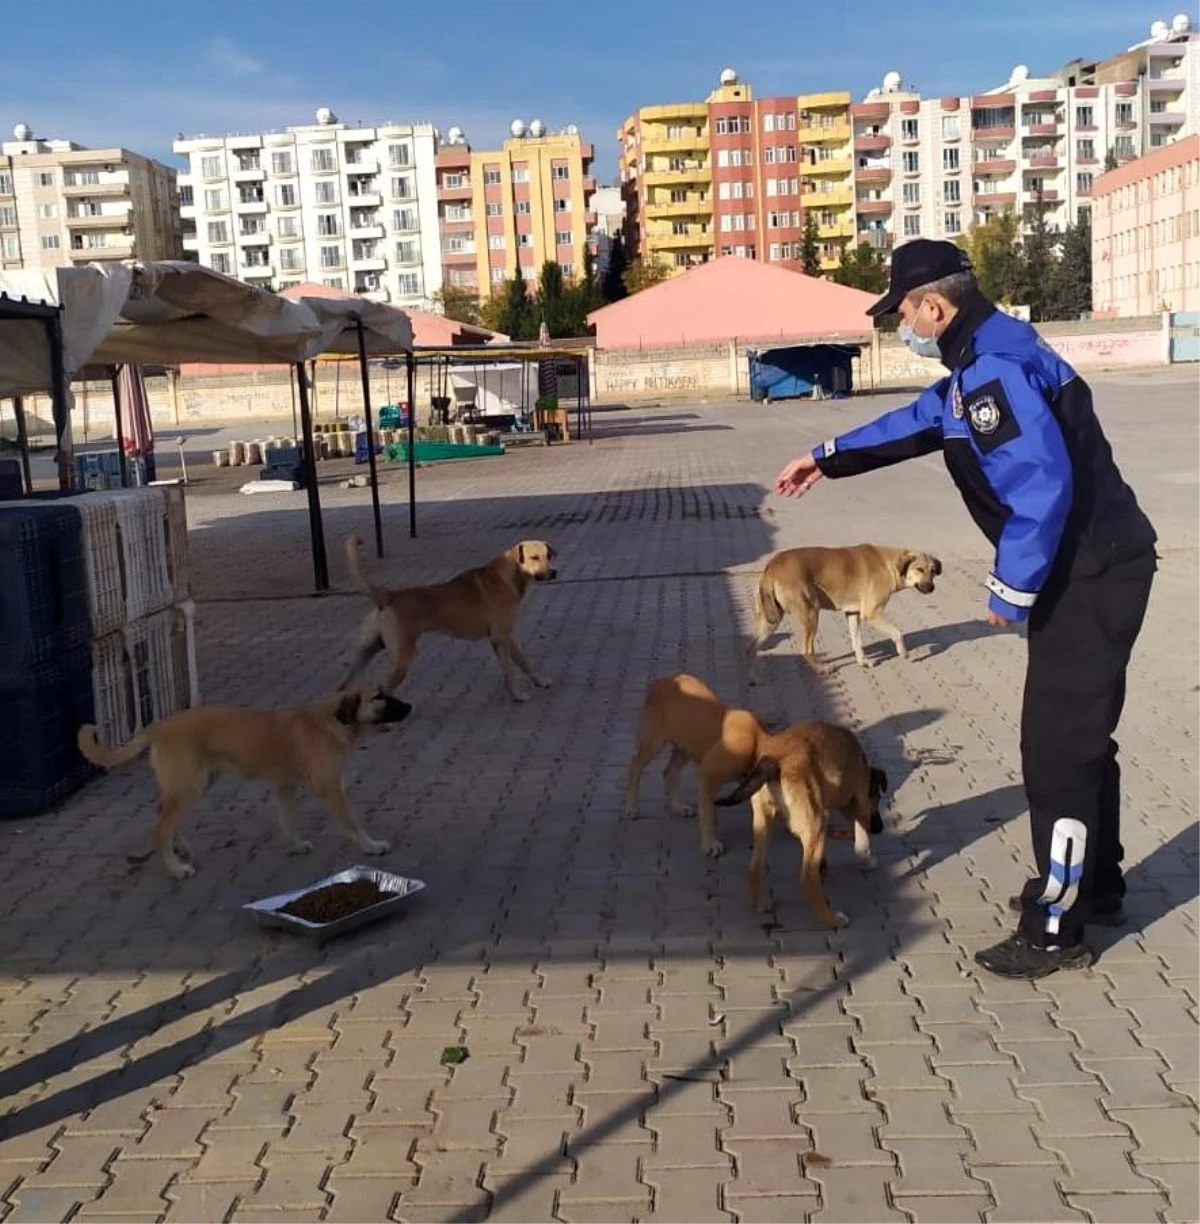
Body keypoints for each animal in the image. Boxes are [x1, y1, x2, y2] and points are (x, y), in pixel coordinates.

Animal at [76, 690, 411, 881]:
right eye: (378, 697)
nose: (408, 706)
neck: (332, 720)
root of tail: (157, 726)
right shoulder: (330, 788)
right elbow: (352, 823)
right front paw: (372, 846)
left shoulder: (285, 787)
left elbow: (287, 819)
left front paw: (295, 844)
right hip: (190, 786)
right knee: (159, 828)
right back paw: (175, 869)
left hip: (193, 784)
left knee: (163, 815)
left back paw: (180, 849)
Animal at [342, 531, 558, 705]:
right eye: (534, 557)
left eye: (548, 555)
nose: (554, 573)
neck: (507, 575)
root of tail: (388, 596)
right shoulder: (501, 638)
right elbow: (509, 672)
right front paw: (517, 696)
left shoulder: (506, 638)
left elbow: (524, 662)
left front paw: (539, 681)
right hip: (403, 657)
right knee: (384, 688)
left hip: (366, 652)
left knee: (346, 685)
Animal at [710, 719, 891, 920]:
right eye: (877, 798)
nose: (880, 828)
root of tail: (775, 759)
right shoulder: (860, 805)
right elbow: (861, 845)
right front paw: (866, 861)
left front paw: (823, 863)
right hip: (819, 822)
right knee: (807, 880)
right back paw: (832, 920)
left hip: (764, 824)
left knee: (754, 868)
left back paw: (760, 904)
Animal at [744, 545, 940, 680]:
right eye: (919, 569)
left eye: (933, 571)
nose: (931, 588)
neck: (889, 565)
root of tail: (771, 567)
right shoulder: (871, 613)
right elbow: (898, 632)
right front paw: (903, 652)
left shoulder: (853, 614)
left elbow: (857, 642)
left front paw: (862, 661)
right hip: (811, 615)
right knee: (806, 650)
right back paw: (822, 669)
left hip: (770, 620)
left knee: (751, 648)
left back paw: (753, 678)